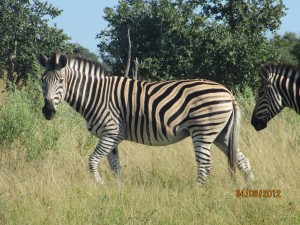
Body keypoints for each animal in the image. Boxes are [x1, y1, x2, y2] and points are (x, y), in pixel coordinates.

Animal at [37, 51, 253, 185]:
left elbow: (92, 161)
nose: (48, 111)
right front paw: (118, 189)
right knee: (241, 160)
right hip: (221, 134)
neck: (96, 95)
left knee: (205, 166)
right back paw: (250, 187)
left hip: (203, 131)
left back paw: (195, 191)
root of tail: (228, 92)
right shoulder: (112, 137)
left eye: (61, 81)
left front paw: (100, 185)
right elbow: (115, 166)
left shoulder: (111, 132)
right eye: (42, 80)